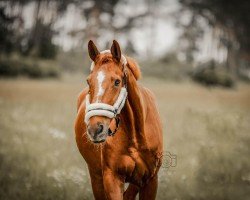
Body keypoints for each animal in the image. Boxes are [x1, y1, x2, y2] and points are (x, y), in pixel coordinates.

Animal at [74, 39, 163, 199]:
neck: (137, 138)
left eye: (117, 81)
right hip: (96, 177)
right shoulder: (112, 179)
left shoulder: (150, 181)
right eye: (88, 81)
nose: (95, 129)